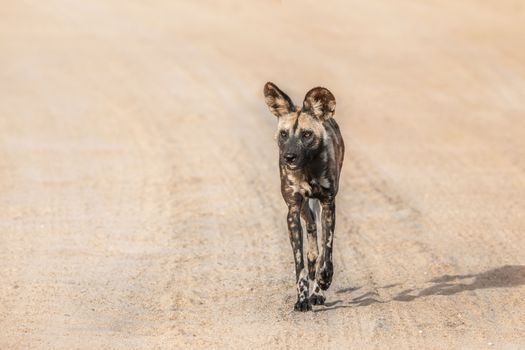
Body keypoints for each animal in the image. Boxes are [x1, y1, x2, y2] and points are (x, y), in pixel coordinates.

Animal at [262, 82, 344, 312]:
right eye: (284, 134)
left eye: (306, 134)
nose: (288, 157)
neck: (307, 169)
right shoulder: (293, 211)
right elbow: (300, 264)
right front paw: (301, 299)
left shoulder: (328, 203)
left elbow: (327, 250)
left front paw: (324, 281)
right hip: (307, 213)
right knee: (312, 244)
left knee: (321, 248)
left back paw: (318, 292)